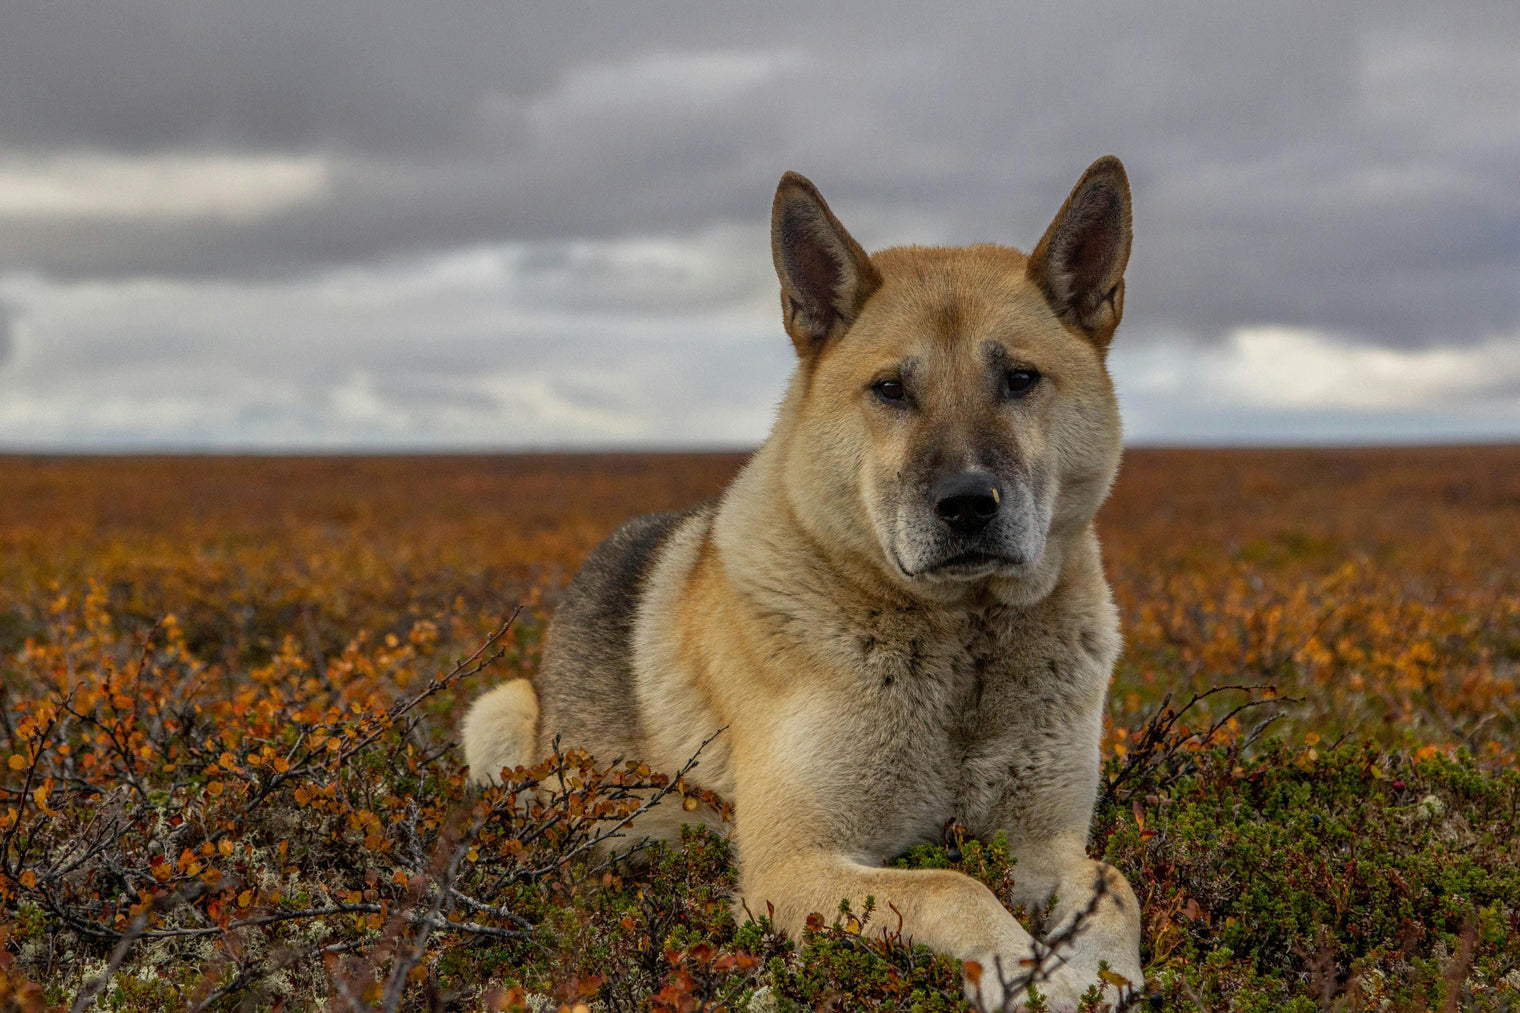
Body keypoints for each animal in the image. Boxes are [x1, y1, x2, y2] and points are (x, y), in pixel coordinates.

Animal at [462, 153, 1143, 1003]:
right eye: (891, 389)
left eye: (1020, 379)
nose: (967, 504)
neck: (964, 644)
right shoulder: (793, 867)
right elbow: (953, 883)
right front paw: (1024, 973)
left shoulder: (1044, 840)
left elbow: (1114, 884)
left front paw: (1098, 969)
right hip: (496, 714)